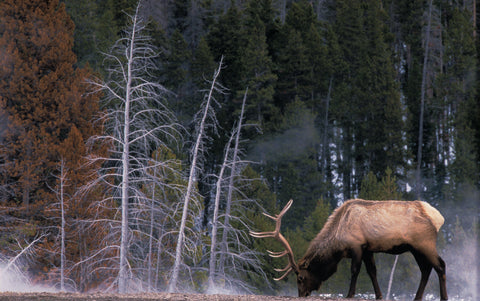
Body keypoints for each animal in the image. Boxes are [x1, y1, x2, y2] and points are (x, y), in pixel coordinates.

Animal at [251, 198, 446, 298]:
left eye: (300, 277)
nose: (302, 295)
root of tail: (439, 217)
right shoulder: (368, 249)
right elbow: (372, 272)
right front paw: (379, 295)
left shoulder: (357, 245)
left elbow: (355, 270)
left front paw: (349, 294)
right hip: (415, 248)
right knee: (426, 269)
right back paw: (417, 297)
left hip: (424, 243)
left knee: (440, 266)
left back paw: (443, 296)